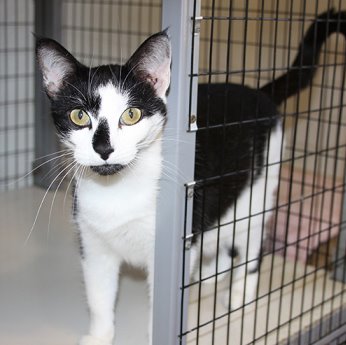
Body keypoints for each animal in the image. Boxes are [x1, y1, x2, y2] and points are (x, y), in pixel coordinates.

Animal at [35, 8, 346, 344]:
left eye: (131, 115)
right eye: (79, 116)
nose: (104, 148)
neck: (118, 189)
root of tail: (257, 93)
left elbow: (159, 303)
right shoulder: (93, 244)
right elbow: (98, 297)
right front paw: (99, 335)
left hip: (259, 189)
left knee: (251, 240)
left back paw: (239, 293)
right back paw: (210, 273)